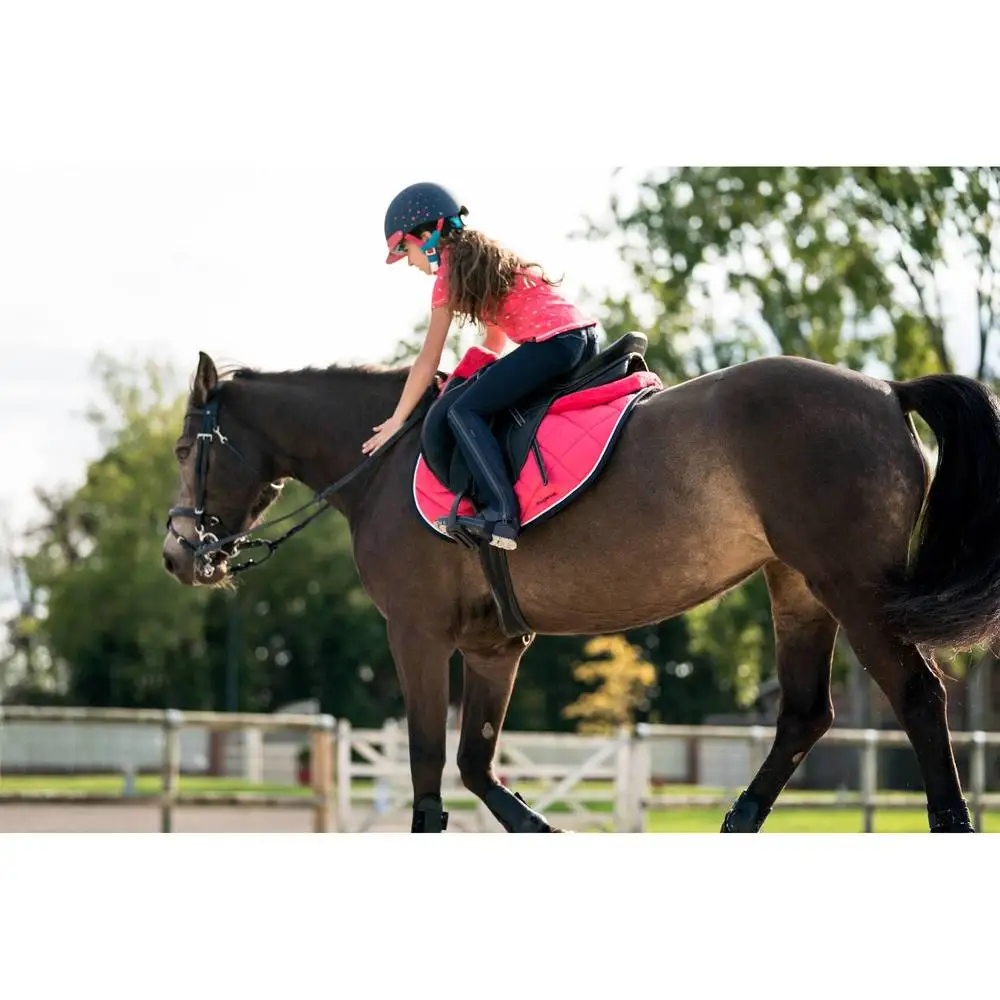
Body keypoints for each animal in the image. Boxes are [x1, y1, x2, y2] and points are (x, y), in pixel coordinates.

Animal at [161, 335, 1000, 833]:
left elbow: (430, 767)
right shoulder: (494, 647)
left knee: (916, 698)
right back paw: (739, 820)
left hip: (853, 589)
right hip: (797, 589)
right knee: (803, 715)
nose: (176, 554)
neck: (386, 461)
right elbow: (476, 765)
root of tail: (887, 389)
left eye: (182, 450)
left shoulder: (418, 635)